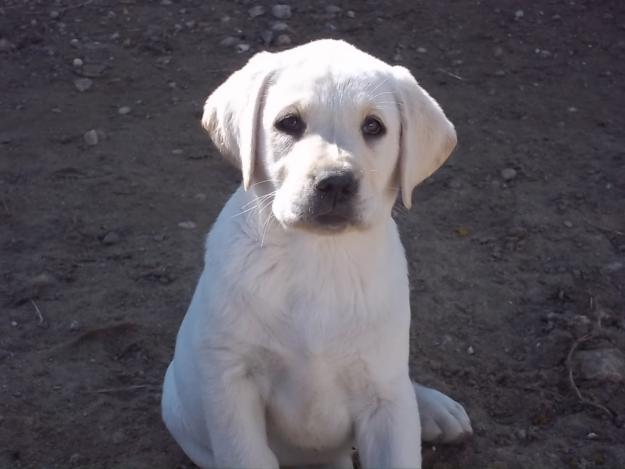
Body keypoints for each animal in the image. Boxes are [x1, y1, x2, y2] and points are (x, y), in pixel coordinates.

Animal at [161, 38, 468, 466]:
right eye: (289, 123)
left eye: (374, 127)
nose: (336, 183)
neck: (319, 256)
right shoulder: (232, 383)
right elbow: (246, 454)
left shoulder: (384, 401)